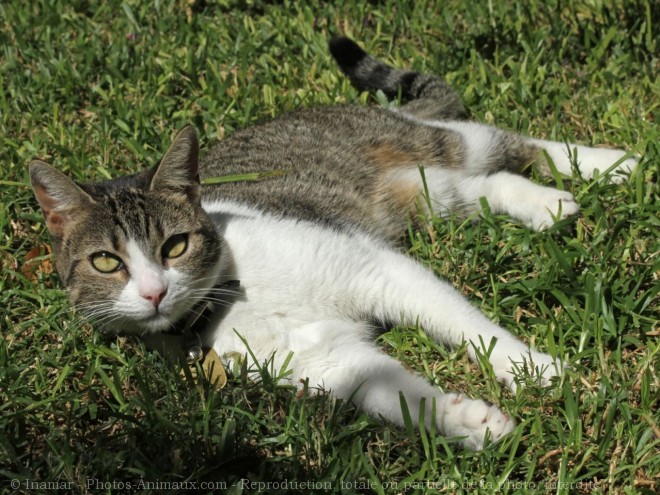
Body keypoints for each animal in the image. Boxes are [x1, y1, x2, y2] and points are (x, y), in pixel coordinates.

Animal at [28, 36, 636, 452]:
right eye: (105, 262)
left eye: (174, 247)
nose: (154, 293)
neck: (227, 298)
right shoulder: (330, 361)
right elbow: (400, 395)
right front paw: (469, 421)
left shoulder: (378, 270)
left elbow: (472, 330)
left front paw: (535, 369)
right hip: (424, 194)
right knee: (487, 186)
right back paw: (546, 206)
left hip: (438, 145)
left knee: (516, 143)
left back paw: (616, 164)